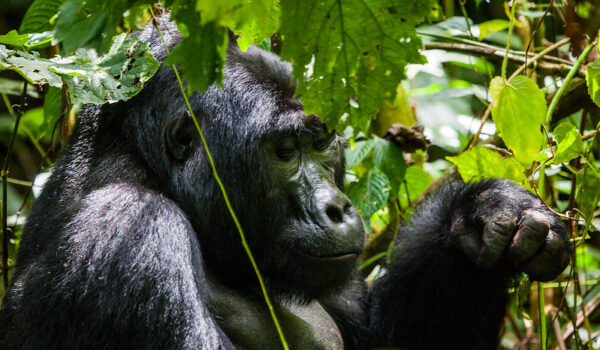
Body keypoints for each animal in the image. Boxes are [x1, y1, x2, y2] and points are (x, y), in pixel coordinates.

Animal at [1, 18, 572, 350]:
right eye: (284, 151)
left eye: (321, 141)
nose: (337, 207)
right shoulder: (130, 232)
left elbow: (388, 336)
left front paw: (484, 213)